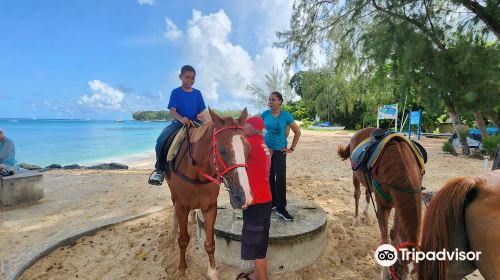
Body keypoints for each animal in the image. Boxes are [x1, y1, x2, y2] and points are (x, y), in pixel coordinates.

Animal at [166, 108, 254, 278]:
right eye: (222, 150)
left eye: (248, 149)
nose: (244, 197)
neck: (197, 173)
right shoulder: (181, 206)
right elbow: (183, 240)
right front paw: (181, 267)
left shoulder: (210, 207)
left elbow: (210, 243)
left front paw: (212, 271)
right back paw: (174, 227)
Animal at [338, 128, 424, 278]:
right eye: (399, 272)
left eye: (416, 275)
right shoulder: (383, 207)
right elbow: (385, 238)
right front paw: (384, 273)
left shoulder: (398, 205)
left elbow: (394, 233)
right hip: (355, 176)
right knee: (357, 195)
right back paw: (356, 219)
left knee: (367, 192)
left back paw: (366, 215)